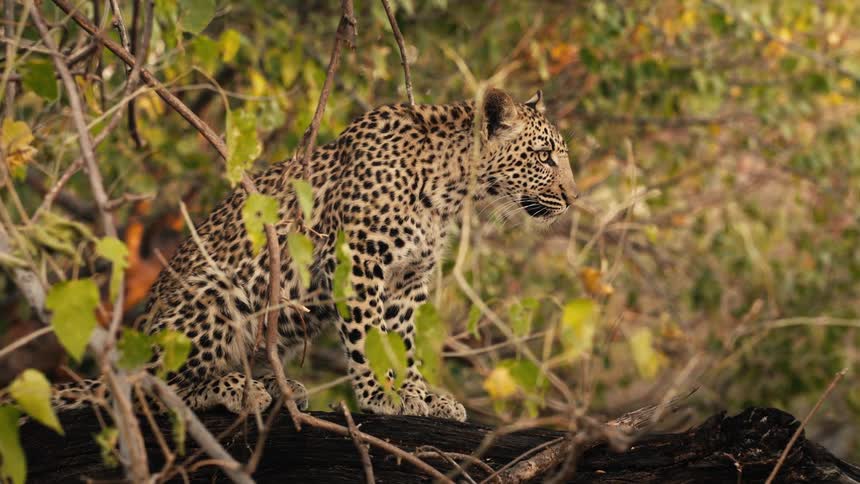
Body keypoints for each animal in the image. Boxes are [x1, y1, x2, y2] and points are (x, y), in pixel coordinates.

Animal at [51, 88, 578, 422]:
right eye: (544, 156)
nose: (574, 198)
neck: (448, 190)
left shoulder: (408, 280)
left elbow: (402, 342)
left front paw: (420, 394)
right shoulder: (358, 260)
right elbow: (367, 335)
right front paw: (379, 394)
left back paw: (275, 387)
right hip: (216, 295)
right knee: (147, 391)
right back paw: (236, 389)